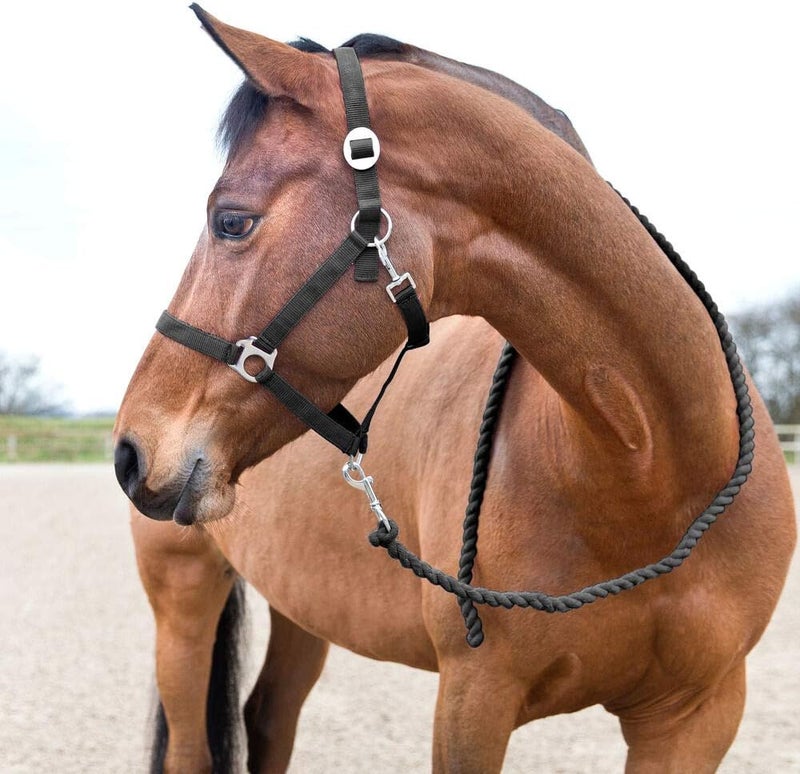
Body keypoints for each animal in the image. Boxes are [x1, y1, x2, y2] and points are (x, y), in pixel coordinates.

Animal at [114, 6, 796, 773]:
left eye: (231, 220)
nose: (130, 451)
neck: (650, 472)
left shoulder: (695, 716)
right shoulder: (475, 698)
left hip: (300, 604)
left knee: (268, 720)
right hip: (182, 595)